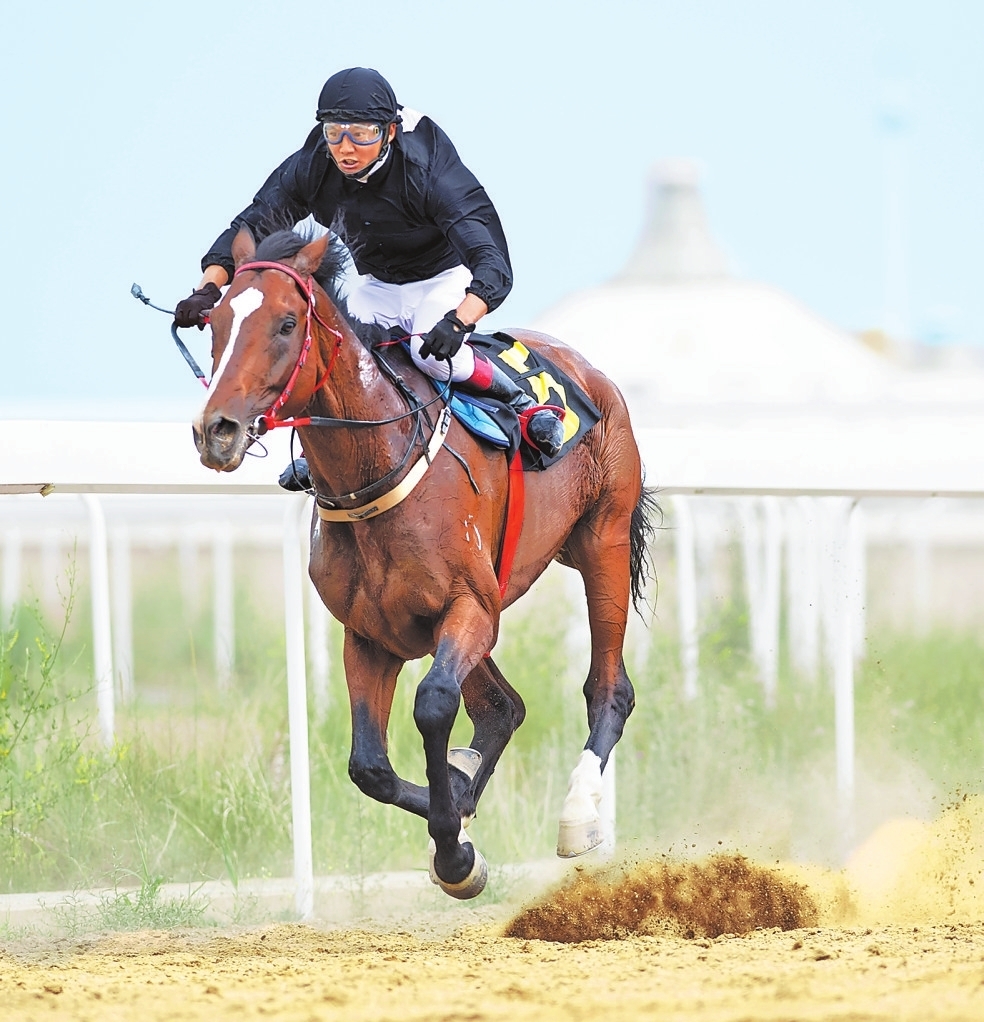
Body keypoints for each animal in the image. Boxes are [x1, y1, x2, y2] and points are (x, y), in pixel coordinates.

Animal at [193, 227, 658, 899]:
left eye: (285, 324)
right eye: (217, 321)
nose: (217, 431)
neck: (379, 466)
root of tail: (589, 372)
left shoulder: (469, 607)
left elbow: (435, 702)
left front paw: (455, 851)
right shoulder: (370, 633)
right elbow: (370, 767)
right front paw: (458, 809)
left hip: (603, 540)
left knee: (608, 689)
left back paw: (578, 812)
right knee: (502, 708)